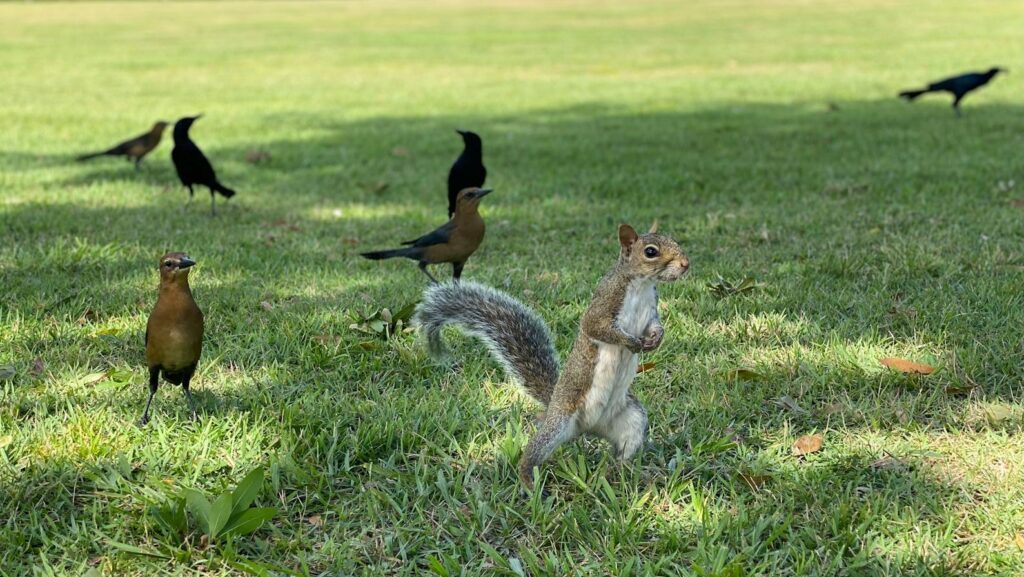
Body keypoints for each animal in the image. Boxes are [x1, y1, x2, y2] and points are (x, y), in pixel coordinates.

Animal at [414, 223, 690, 487]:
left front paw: (656, 338)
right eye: (651, 252)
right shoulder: (604, 302)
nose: (686, 264)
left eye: (675, 240)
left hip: (632, 419)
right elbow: (596, 327)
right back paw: (528, 480)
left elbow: (655, 325)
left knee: (624, 449)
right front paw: (630, 341)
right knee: (533, 452)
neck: (641, 285)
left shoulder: (651, 309)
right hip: (558, 423)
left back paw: (626, 471)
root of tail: (587, 427)